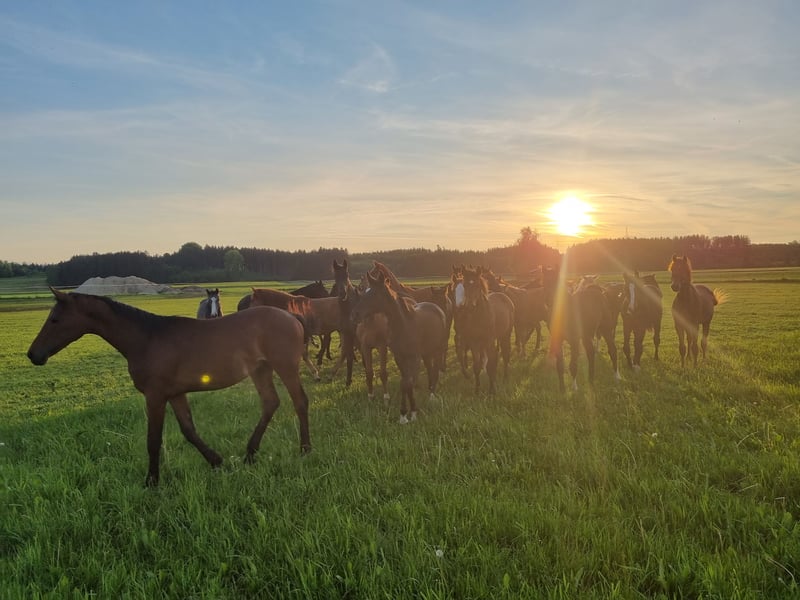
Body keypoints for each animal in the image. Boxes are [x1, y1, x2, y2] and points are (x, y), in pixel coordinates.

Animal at [27, 289, 311, 487]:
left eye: (55, 319)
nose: (33, 355)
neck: (147, 338)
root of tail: (292, 317)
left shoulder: (155, 397)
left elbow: (153, 440)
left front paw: (151, 482)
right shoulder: (175, 394)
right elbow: (189, 431)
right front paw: (216, 461)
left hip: (284, 367)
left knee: (300, 401)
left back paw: (305, 450)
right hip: (260, 370)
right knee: (271, 403)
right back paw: (250, 454)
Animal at [351, 271, 447, 423]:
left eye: (374, 293)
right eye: (362, 290)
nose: (354, 314)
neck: (404, 325)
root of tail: (436, 307)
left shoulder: (413, 357)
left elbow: (407, 383)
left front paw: (410, 414)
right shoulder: (399, 357)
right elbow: (405, 383)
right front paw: (405, 414)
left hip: (437, 350)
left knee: (435, 370)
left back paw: (432, 396)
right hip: (426, 353)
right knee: (429, 369)